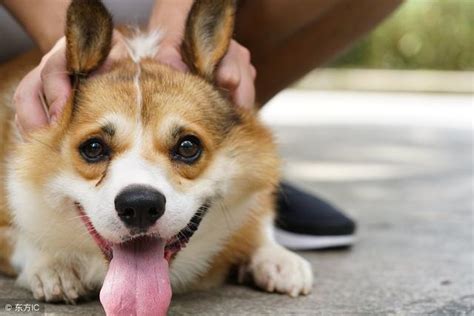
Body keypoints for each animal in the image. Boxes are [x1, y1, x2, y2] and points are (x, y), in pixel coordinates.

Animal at [0, 0, 312, 312]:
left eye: (188, 146)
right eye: (93, 148)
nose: (139, 205)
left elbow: (258, 219)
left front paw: (277, 257)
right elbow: (23, 238)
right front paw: (53, 265)